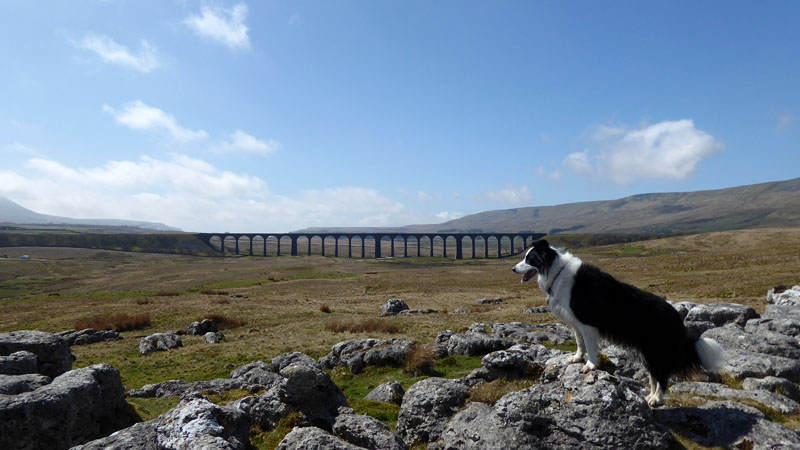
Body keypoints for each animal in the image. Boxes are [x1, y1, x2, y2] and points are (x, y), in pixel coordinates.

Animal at [512, 241, 724, 406]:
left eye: (529, 259)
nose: (513, 269)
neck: (556, 271)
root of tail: (676, 317)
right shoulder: (576, 324)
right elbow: (580, 343)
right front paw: (577, 358)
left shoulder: (587, 325)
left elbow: (590, 347)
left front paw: (590, 366)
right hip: (647, 353)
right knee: (654, 377)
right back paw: (650, 396)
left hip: (655, 351)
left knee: (662, 377)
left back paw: (657, 400)